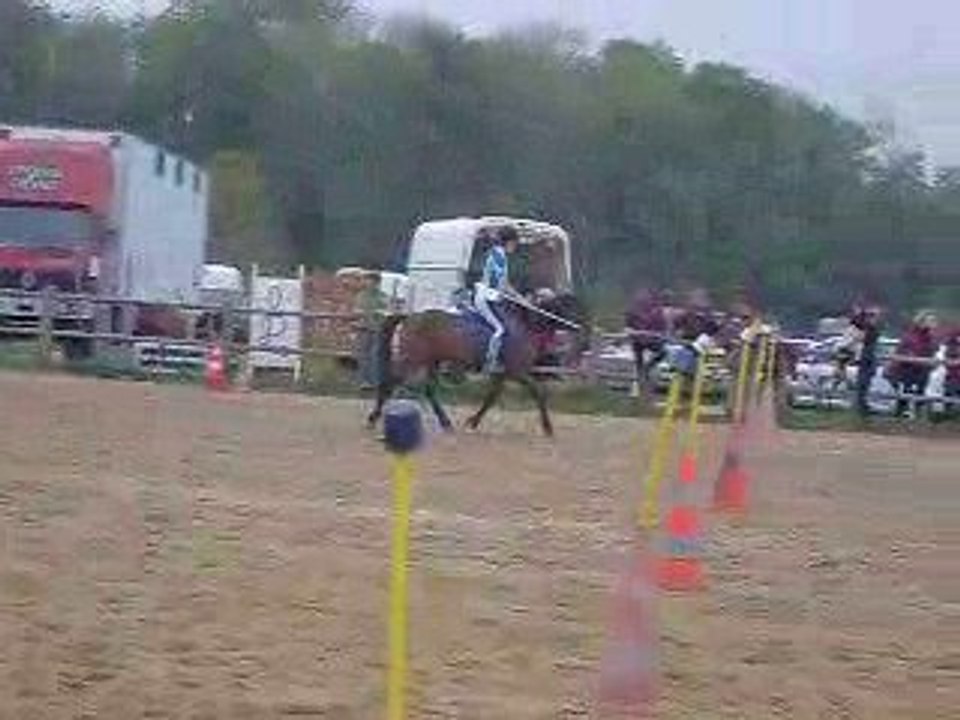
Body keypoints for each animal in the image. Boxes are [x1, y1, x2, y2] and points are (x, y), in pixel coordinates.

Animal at [366, 293, 587, 437]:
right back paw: (372, 419)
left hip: (432, 361)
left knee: (429, 390)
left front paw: (473, 422)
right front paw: (548, 428)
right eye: (574, 308)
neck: (525, 324)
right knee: (390, 383)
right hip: (412, 359)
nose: (583, 331)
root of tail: (411, 315)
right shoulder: (517, 371)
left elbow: (491, 398)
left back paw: (446, 423)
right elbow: (539, 392)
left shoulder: (501, 374)